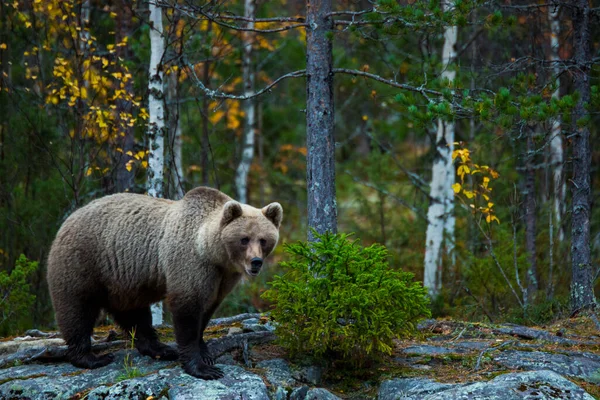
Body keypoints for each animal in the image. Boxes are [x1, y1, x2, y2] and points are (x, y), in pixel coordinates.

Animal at [46, 186, 282, 380]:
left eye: (263, 239)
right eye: (244, 239)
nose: (256, 262)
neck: (211, 252)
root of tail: (68, 219)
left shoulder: (222, 278)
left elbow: (207, 310)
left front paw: (205, 352)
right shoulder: (190, 264)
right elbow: (187, 311)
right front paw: (203, 367)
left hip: (123, 281)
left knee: (134, 314)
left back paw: (160, 348)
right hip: (84, 262)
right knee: (78, 309)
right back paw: (91, 357)